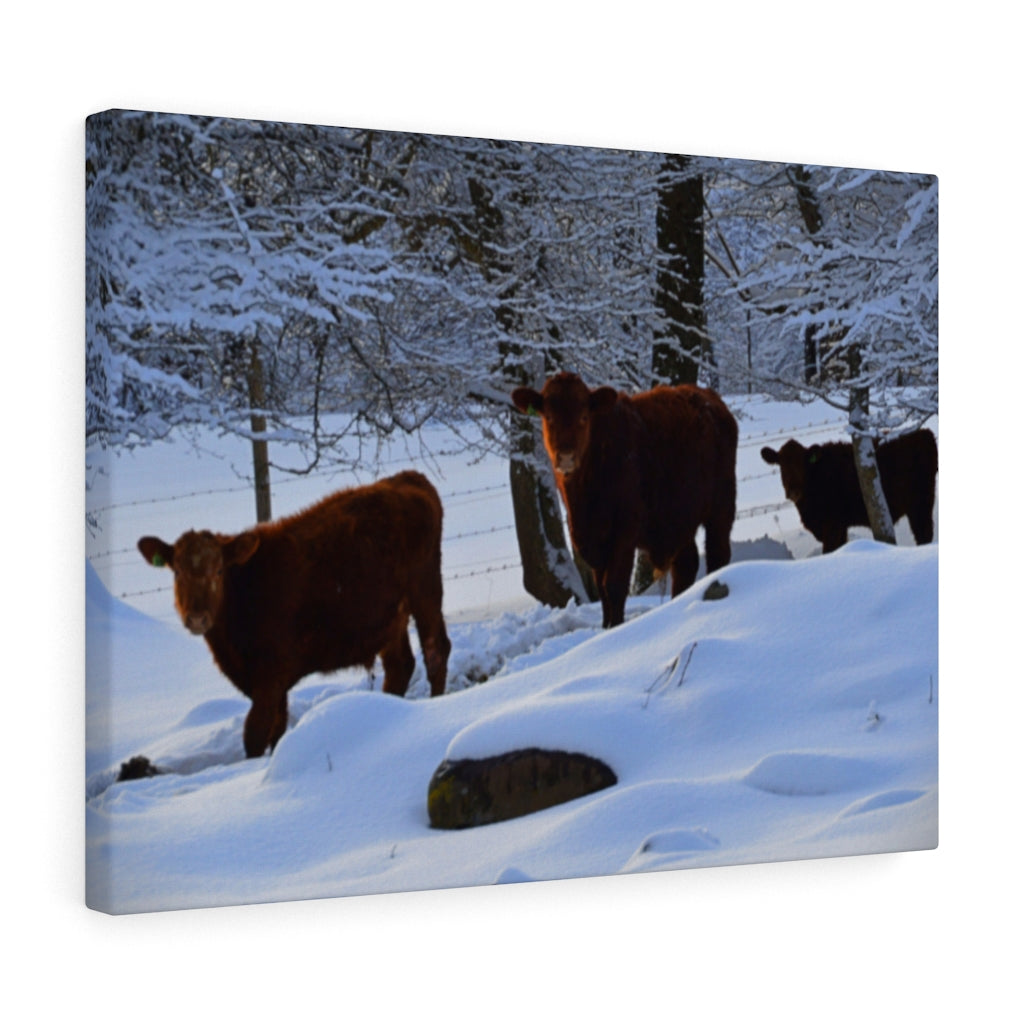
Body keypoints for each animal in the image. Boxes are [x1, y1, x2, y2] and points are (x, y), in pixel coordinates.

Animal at [138, 470, 451, 757]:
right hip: (390, 619)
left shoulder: (269, 676)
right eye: (177, 572)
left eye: (219, 570)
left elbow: (255, 736)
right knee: (400, 665)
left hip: (425, 590)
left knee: (436, 651)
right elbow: (277, 731)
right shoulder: (272, 683)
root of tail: (407, 477)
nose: (197, 618)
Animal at [512, 371, 738, 629]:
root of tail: (709, 398)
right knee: (686, 564)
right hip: (679, 519)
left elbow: (615, 586)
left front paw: (617, 627)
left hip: (721, 507)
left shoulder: (624, 532)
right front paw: (605, 627)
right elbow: (602, 590)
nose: (566, 456)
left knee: (717, 554)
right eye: (548, 417)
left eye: (583, 417)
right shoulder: (590, 539)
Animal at [760, 429, 938, 554]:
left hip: (920, 503)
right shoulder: (839, 527)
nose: (793, 491)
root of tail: (924, 433)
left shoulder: (833, 526)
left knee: (924, 533)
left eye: (802, 463)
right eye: (781, 465)